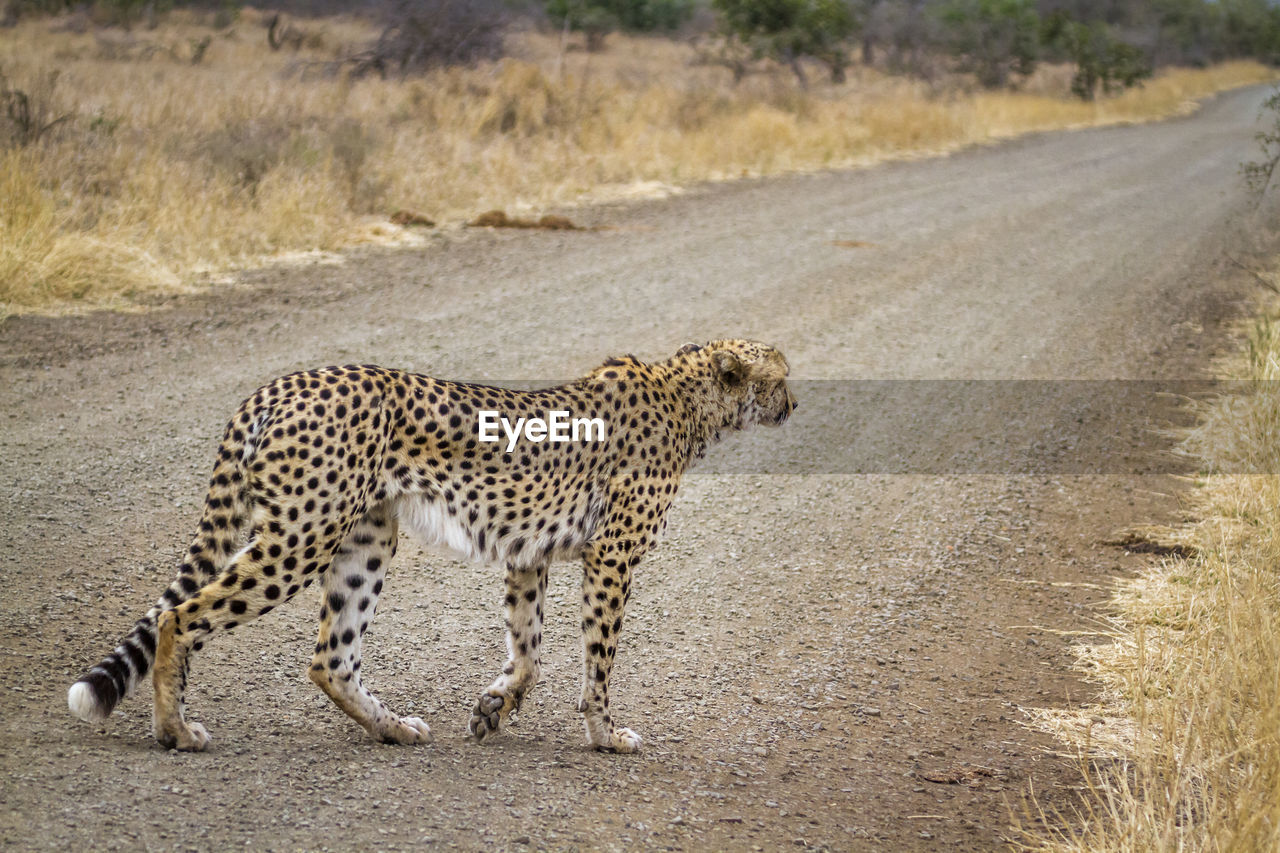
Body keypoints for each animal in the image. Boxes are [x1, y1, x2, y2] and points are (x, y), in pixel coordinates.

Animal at [70, 338, 793, 753]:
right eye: (780, 376)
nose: (793, 404)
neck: (688, 401)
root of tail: (282, 382)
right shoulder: (610, 557)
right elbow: (598, 660)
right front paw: (605, 733)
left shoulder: (528, 553)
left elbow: (528, 648)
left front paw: (494, 709)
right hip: (301, 536)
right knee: (179, 615)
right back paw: (174, 729)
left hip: (364, 537)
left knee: (330, 657)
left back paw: (391, 727)